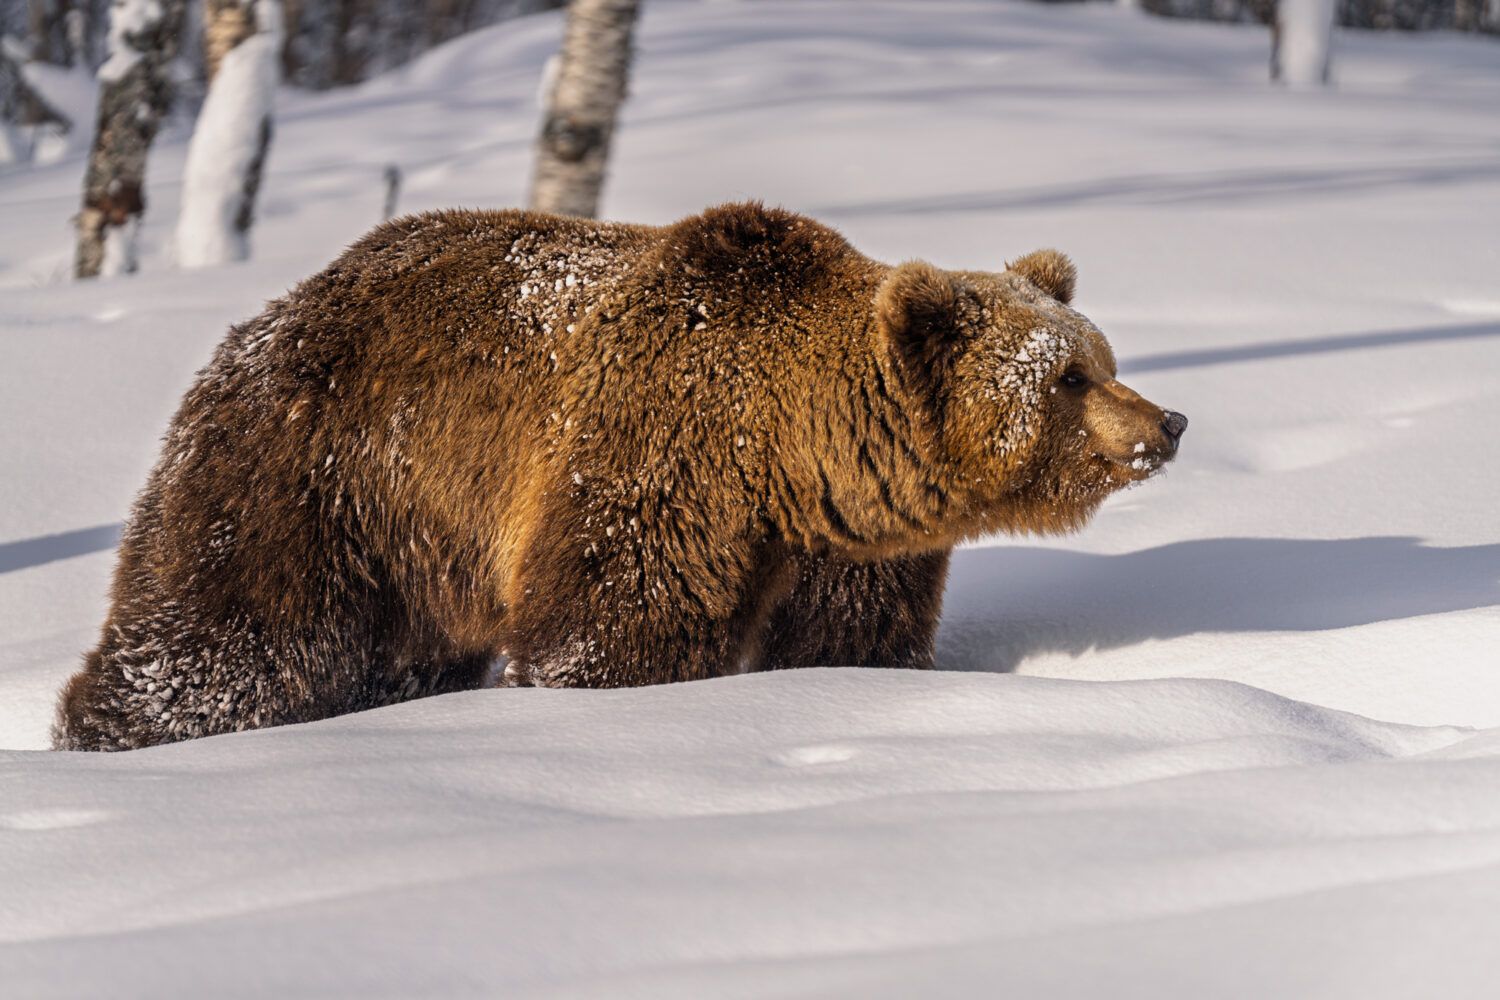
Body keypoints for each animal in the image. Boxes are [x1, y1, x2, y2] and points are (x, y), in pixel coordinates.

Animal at [54, 202, 1186, 751]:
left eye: (1101, 354)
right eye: (1070, 375)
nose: (1168, 423)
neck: (786, 451)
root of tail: (255, 327)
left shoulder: (845, 544)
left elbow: (850, 639)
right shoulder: (656, 459)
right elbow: (611, 630)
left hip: (407, 552)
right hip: (320, 477)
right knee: (222, 638)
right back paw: (112, 728)